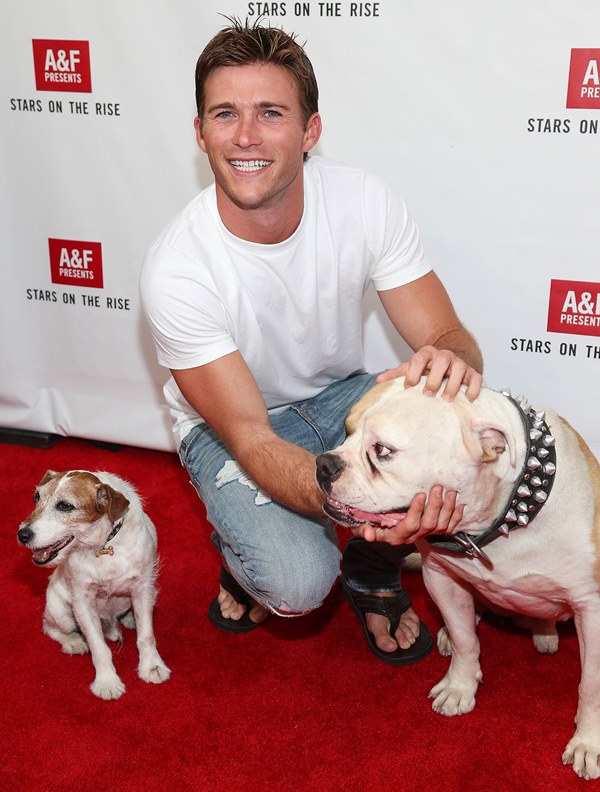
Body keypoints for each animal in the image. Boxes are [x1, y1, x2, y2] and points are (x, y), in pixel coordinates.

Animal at [17, 470, 171, 700]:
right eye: (37, 497)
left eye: (65, 506)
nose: (22, 535)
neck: (103, 546)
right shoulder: (82, 601)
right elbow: (98, 647)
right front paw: (107, 682)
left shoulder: (143, 588)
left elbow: (146, 636)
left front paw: (152, 666)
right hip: (62, 614)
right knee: (49, 626)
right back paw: (73, 642)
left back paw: (129, 619)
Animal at [316, 378, 600, 781]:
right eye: (346, 430)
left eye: (383, 451)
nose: (324, 463)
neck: (509, 512)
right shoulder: (440, 578)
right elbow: (467, 642)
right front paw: (460, 686)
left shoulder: (592, 610)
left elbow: (591, 684)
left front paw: (589, 741)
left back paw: (543, 631)